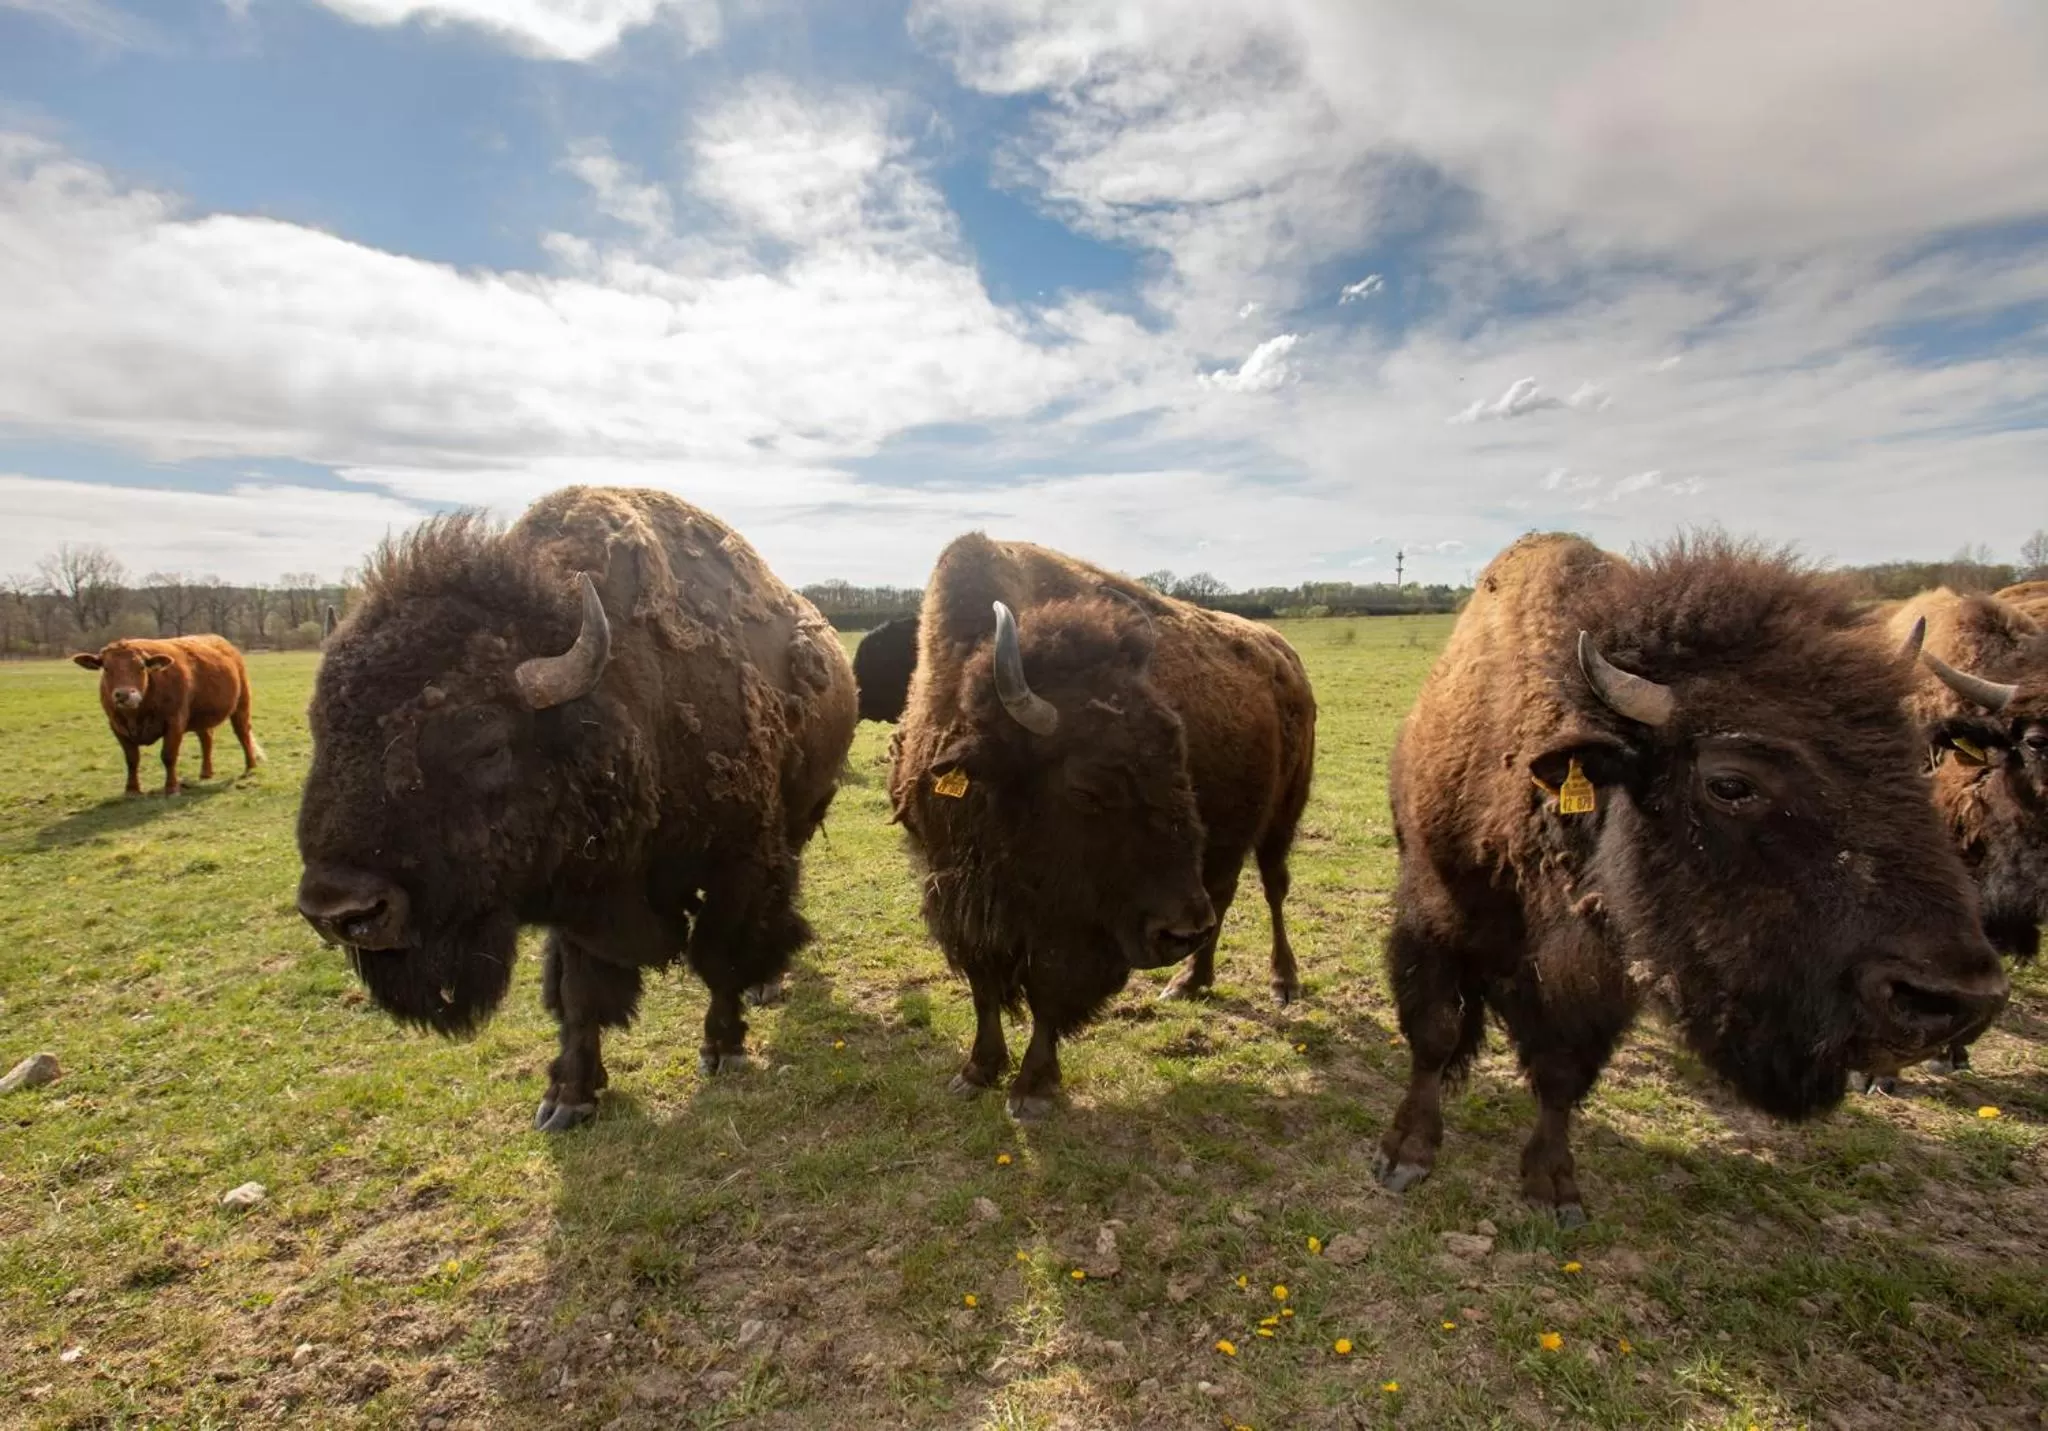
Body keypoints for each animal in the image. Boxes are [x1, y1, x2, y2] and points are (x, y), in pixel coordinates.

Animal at [73, 634, 264, 797]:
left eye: (141, 667)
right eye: (106, 668)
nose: (124, 694)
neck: (136, 715)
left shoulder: (175, 723)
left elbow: (168, 755)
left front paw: (172, 788)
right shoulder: (117, 727)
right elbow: (132, 759)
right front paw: (132, 790)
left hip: (241, 704)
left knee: (242, 734)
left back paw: (250, 767)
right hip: (200, 716)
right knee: (206, 738)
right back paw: (206, 773)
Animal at [296, 487, 857, 1131]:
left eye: (486, 742)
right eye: (320, 729)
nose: (339, 910)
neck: (620, 703)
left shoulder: (736, 868)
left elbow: (719, 960)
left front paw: (724, 1050)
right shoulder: (578, 896)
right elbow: (579, 996)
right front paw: (568, 1098)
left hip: (799, 821)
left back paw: (766, 987)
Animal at [888, 534, 1316, 1120]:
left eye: (1181, 758)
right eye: (1087, 788)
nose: (1177, 933)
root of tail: (1284, 654)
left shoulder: (1075, 927)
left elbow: (1049, 991)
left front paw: (1032, 1088)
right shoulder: (957, 893)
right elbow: (983, 984)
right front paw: (977, 1071)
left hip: (1280, 818)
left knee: (1273, 888)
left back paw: (1281, 982)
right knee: (1224, 896)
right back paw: (1190, 982)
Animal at [1378, 534, 2007, 1225]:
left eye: (1920, 763)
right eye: (1730, 783)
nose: (1956, 998)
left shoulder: (1600, 976)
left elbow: (1563, 1072)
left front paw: (1554, 1188)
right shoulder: (1435, 918)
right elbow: (1435, 1035)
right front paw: (1405, 1156)